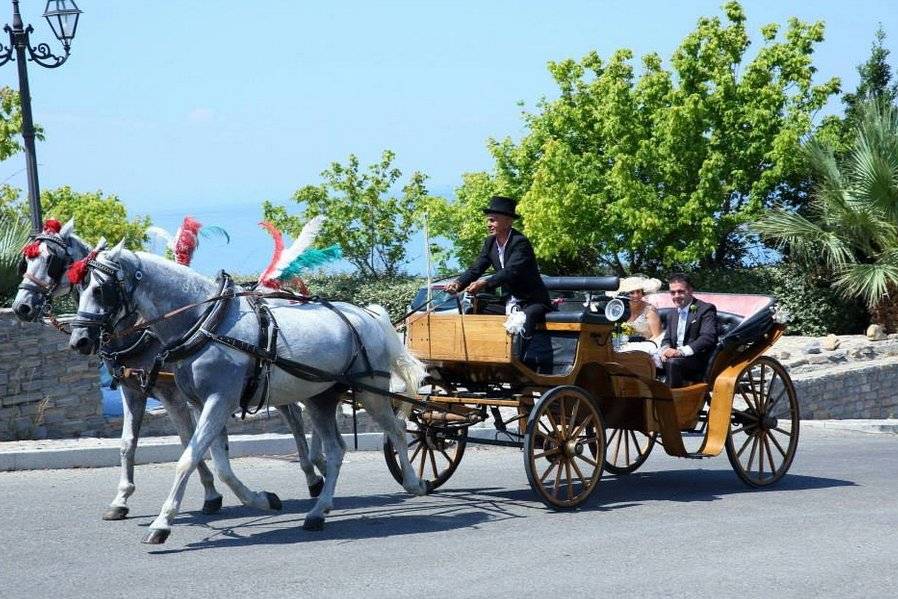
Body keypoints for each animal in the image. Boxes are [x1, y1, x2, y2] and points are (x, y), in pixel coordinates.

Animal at [12, 220, 324, 520]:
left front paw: (210, 494)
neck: (142, 329)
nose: (21, 307)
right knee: (297, 410)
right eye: (26, 261)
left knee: (296, 418)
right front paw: (121, 499)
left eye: (51, 260)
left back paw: (314, 474)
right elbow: (127, 443)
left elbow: (187, 439)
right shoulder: (132, 390)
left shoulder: (171, 393)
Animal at [70, 240, 428, 544]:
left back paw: (414, 483)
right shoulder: (200, 403)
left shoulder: (219, 401)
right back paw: (318, 509)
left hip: (371, 392)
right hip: (319, 396)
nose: (79, 341)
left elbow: (188, 459)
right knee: (336, 449)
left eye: (100, 289)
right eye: (79, 289)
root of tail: (369, 316)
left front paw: (161, 524)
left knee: (396, 430)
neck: (206, 323)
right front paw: (263, 500)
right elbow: (219, 464)